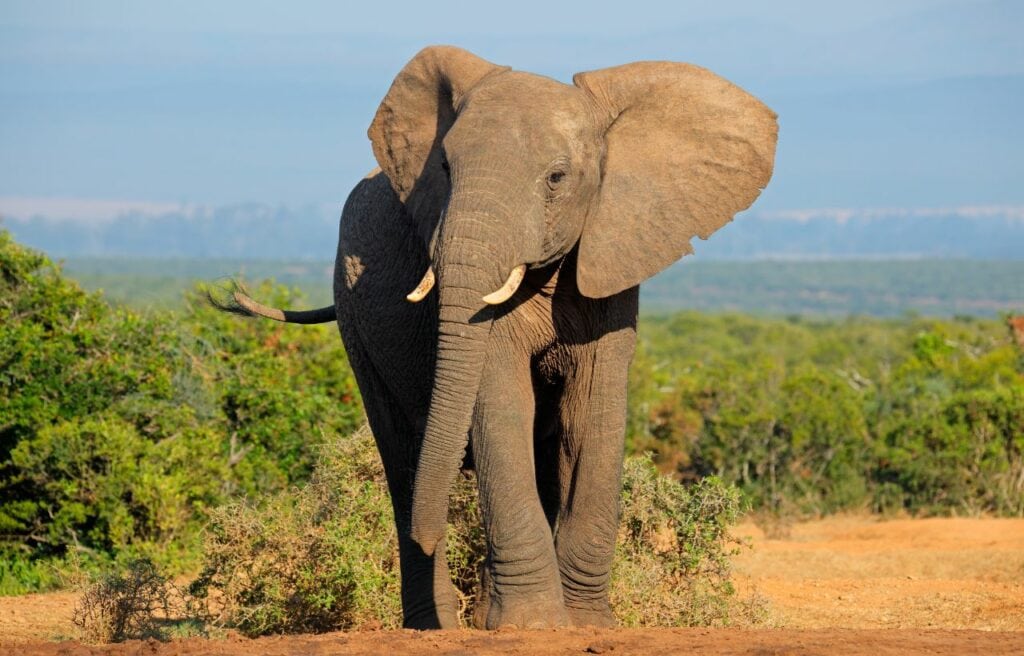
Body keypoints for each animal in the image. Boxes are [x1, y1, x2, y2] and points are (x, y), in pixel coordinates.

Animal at [215, 45, 777, 630]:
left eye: (556, 177)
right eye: (443, 167)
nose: (432, 530)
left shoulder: (613, 256)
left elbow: (592, 412)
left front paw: (584, 625)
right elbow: (501, 403)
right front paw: (532, 626)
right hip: (353, 314)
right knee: (401, 454)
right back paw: (434, 623)